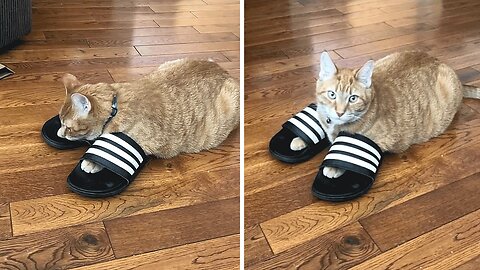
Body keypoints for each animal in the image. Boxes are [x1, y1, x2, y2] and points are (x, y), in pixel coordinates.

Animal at [58, 58, 240, 173]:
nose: (62, 133)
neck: (115, 107)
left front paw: (91, 163)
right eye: (60, 122)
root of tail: (224, 70)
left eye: (69, 127)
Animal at [290, 51, 480, 179]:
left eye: (353, 98)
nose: (340, 112)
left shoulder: (386, 141)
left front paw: (335, 167)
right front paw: (299, 140)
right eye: (332, 95)